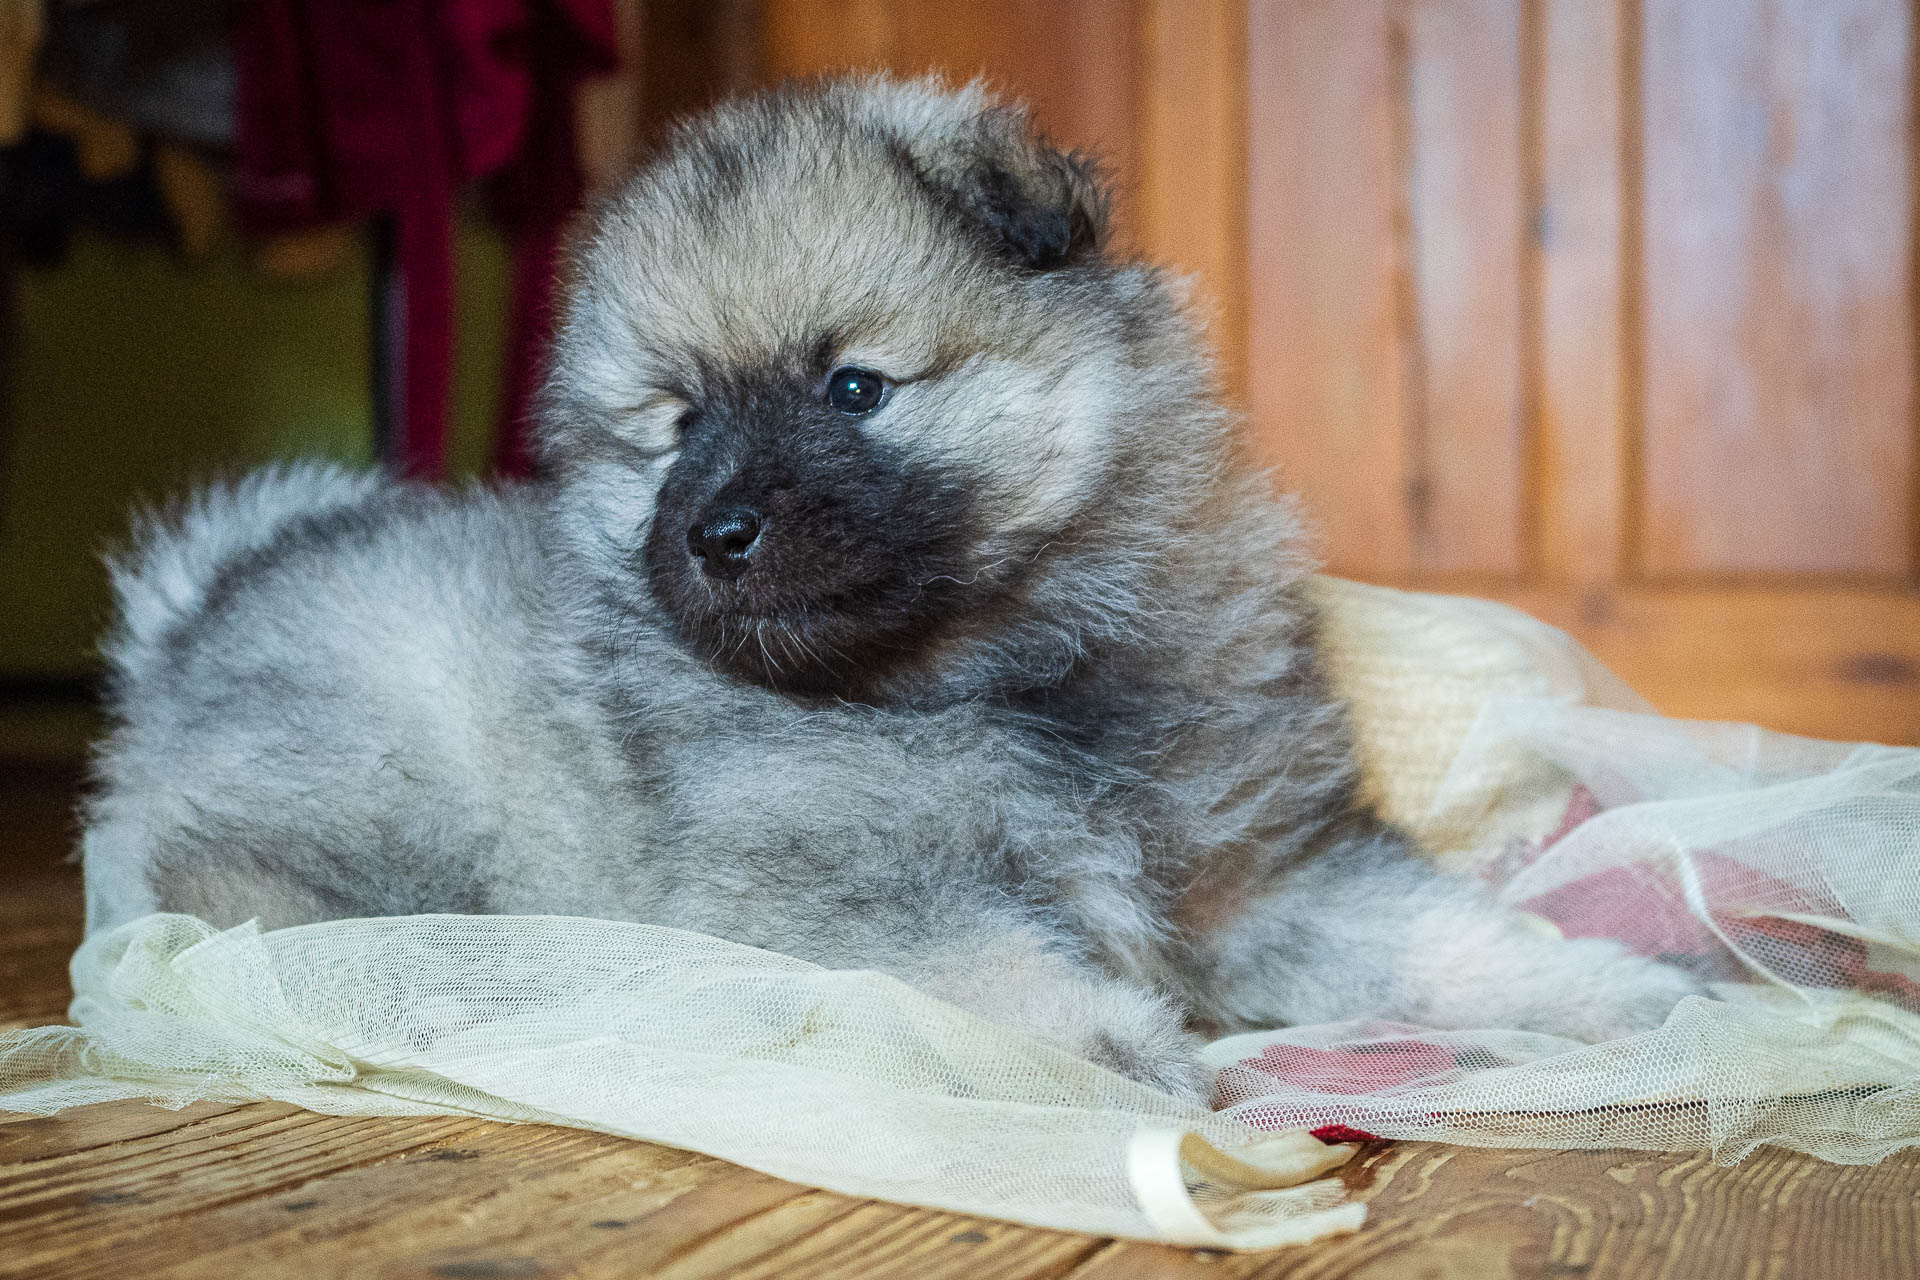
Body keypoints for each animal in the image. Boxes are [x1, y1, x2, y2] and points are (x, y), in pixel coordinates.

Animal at [82, 75, 1697, 1097]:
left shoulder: (1269, 870)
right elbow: (990, 964)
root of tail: (197, 610)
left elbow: (1446, 935)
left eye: (852, 387)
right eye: (678, 425)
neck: (1009, 662)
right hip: (390, 788)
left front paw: (1615, 992)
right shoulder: (851, 887)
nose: (717, 529)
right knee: (232, 902)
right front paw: (1110, 1044)